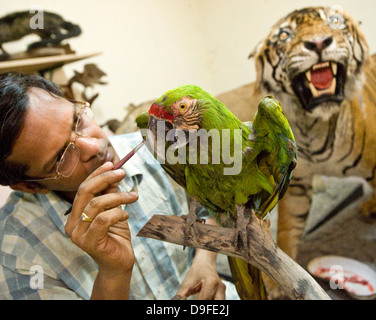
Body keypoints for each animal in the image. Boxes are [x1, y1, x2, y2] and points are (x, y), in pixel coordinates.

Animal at [247, 5, 376, 264]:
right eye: (284, 35)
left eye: (335, 21)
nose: (318, 43)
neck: (313, 125)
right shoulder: (296, 185)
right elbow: (288, 233)